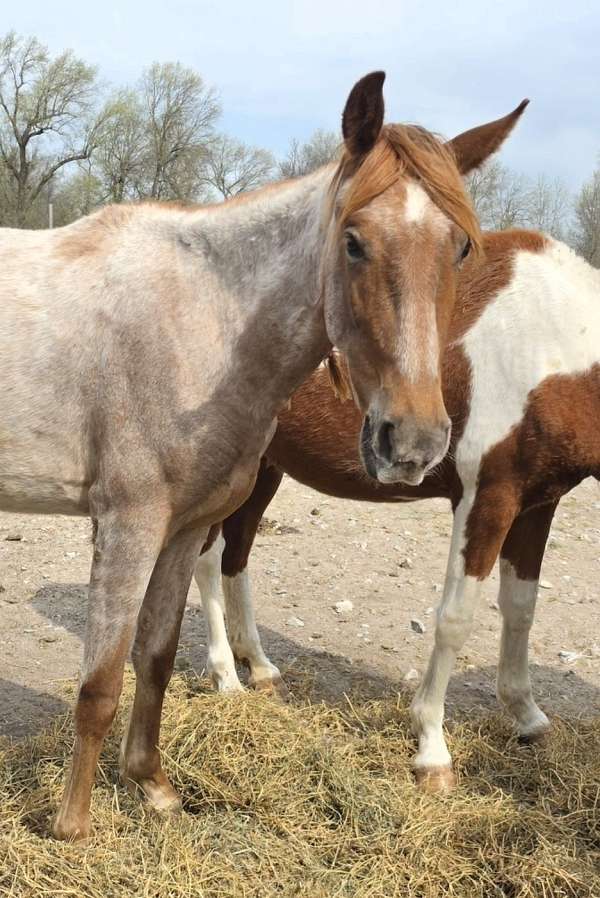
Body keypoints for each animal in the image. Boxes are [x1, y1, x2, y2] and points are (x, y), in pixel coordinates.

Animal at [0, 71, 513, 840]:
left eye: (459, 249)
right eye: (354, 243)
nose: (415, 440)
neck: (202, 323)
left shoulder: (184, 527)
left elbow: (154, 659)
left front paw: (153, 787)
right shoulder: (127, 524)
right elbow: (101, 682)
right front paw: (73, 829)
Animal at [195, 228, 600, 792]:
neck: (554, 339)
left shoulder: (538, 503)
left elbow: (521, 608)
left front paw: (527, 716)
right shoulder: (487, 497)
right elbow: (455, 618)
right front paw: (431, 749)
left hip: (265, 467)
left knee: (237, 556)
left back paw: (258, 666)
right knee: (209, 561)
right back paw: (227, 679)